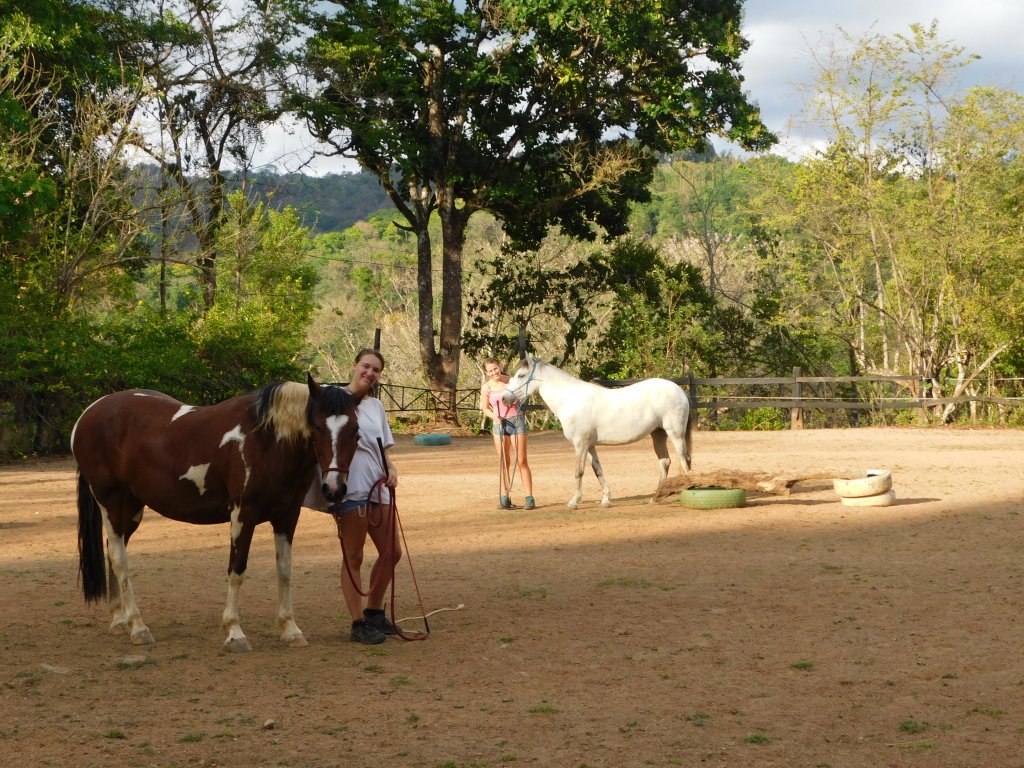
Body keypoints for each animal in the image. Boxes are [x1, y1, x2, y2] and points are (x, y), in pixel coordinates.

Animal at [74, 376, 358, 651]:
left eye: (355, 430)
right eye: (318, 427)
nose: (334, 489)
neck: (266, 441)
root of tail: (89, 412)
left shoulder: (287, 516)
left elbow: (285, 570)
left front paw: (290, 630)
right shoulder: (243, 513)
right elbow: (237, 569)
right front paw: (234, 632)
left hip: (131, 508)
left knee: (113, 549)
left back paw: (120, 620)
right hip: (109, 501)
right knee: (119, 558)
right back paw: (138, 627)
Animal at [499, 356, 692, 512]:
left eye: (521, 375)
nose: (504, 398)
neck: (571, 399)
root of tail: (680, 390)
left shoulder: (580, 444)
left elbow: (579, 472)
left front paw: (574, 502)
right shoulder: (590, 446)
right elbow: (598, 470)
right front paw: (606, 500)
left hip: (675, 434)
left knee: (684, 461)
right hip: (658, 434)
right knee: (665, 462)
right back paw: (655, 498)